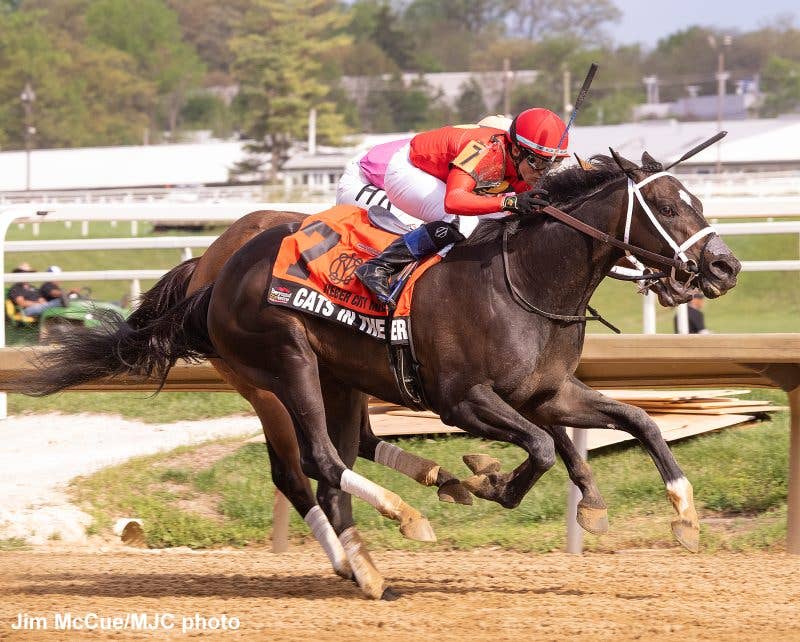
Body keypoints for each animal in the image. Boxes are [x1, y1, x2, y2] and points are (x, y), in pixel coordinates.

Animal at [17, 149, 740, 599]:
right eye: (669, 206)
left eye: (697, 199)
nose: (725, 266)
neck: (525, 280)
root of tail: (214, 274)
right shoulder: (462, 399)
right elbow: (537, 447)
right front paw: (489, 480)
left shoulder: (548, 391)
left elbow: (638, 420)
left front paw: (679, 514)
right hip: (284, 367)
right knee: (316, 461)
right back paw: (395, 525)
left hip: (336, 379)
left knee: (336, 456)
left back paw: (367, 554)